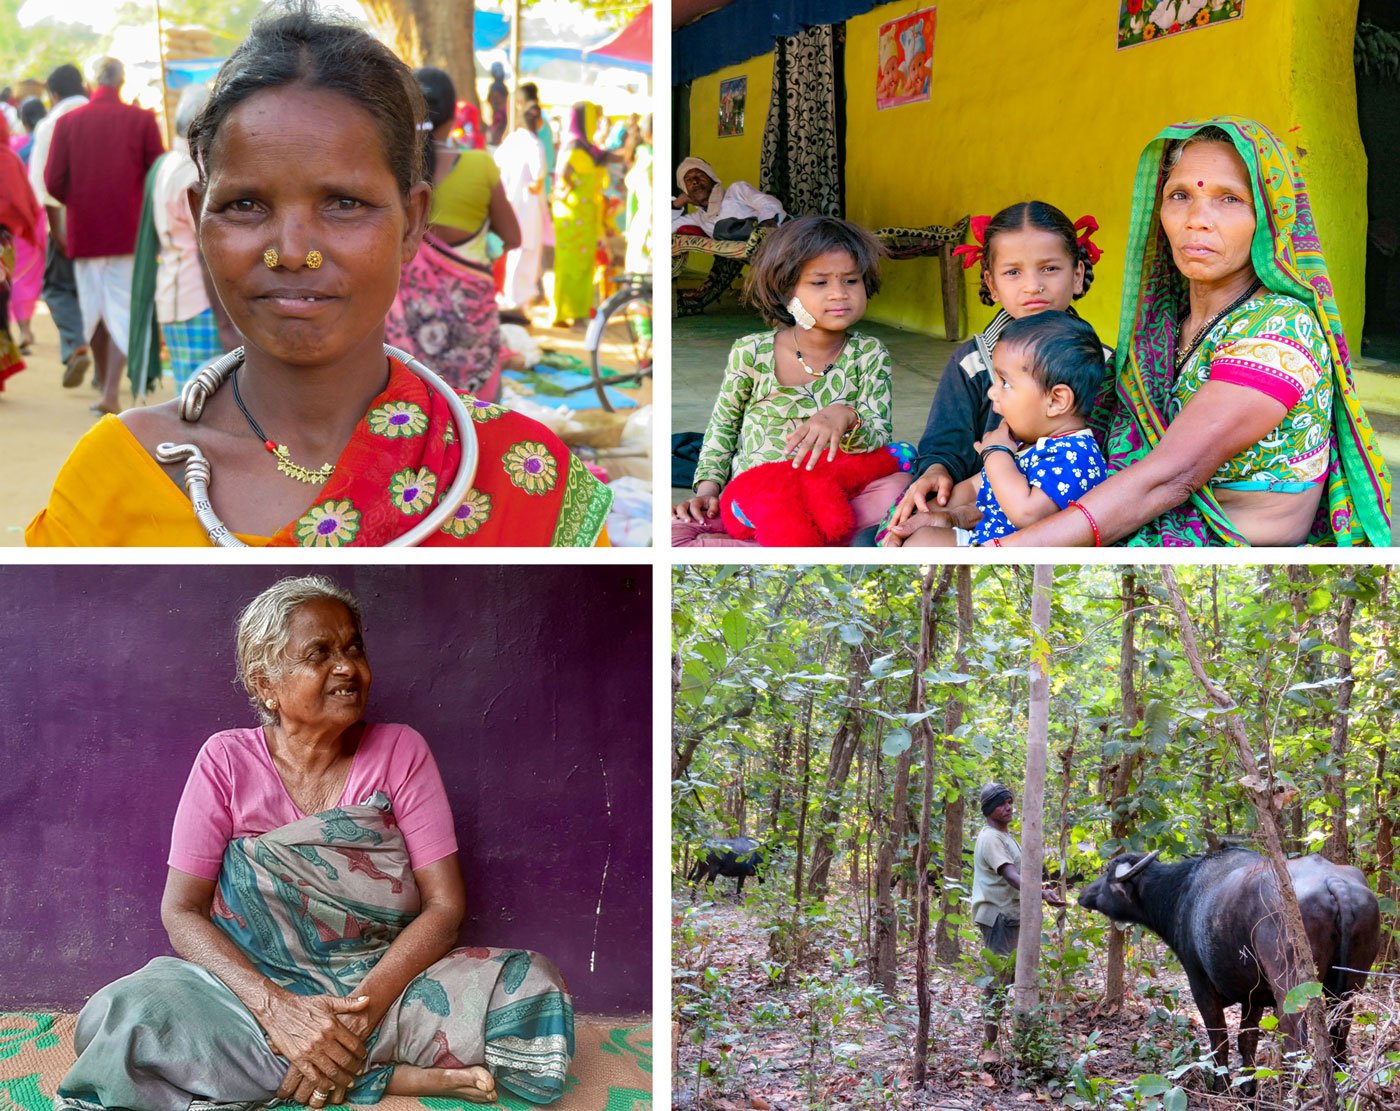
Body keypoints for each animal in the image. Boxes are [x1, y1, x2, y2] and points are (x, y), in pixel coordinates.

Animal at [1075, 850, 1383, 1080]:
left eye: (1107, 873)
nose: (1082, 894)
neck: (1182, 894)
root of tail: (1334, 882)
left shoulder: (1200, 985)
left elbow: (1219, 1041)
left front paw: (1221, 1087)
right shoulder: (1254, 996)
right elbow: (1246, 1041)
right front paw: (1248, 1089)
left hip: (1290, 984)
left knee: (1296, 1040)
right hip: (1350, 986)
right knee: (1340, 1036)